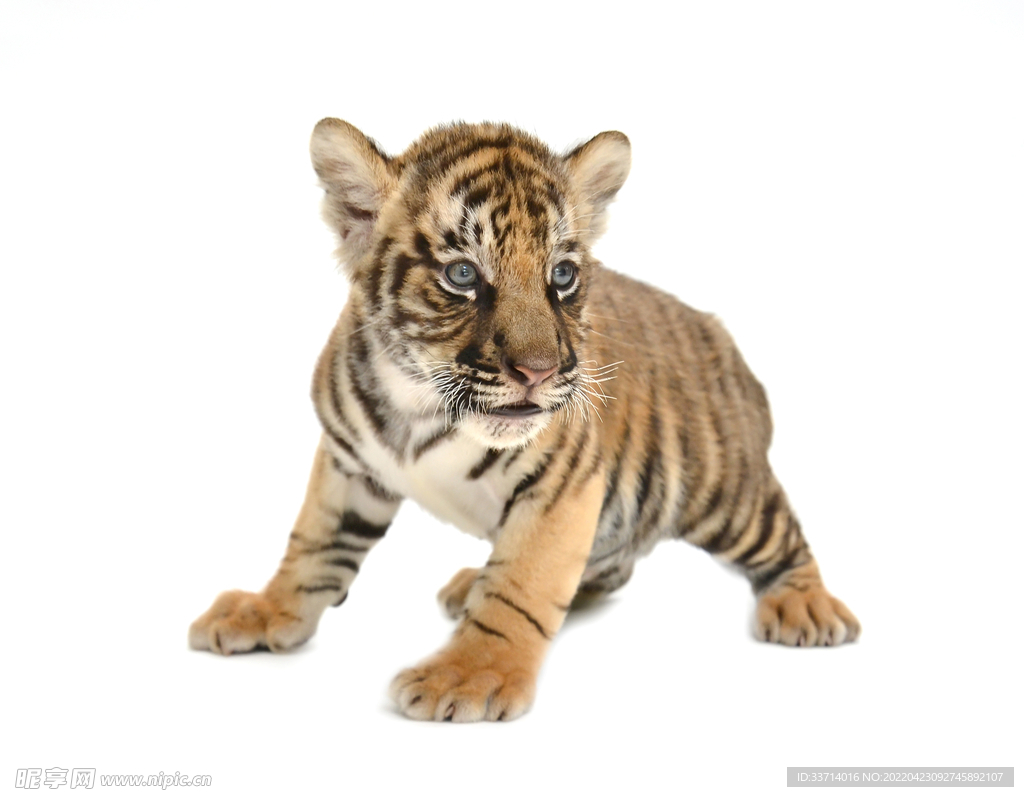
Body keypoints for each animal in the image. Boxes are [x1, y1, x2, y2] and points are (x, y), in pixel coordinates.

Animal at [188, 118, 860, 722]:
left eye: (561, 275)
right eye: (462, 274)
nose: (539, 371)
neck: (420, 406)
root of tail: (723, 338)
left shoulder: (563, 487)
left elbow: (521, 586)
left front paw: (468, 675)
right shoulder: (348, 463)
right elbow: (313, 545)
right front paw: (265, 609)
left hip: (725, 494)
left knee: (784, 538)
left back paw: (809, 608)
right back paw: (470, 583)